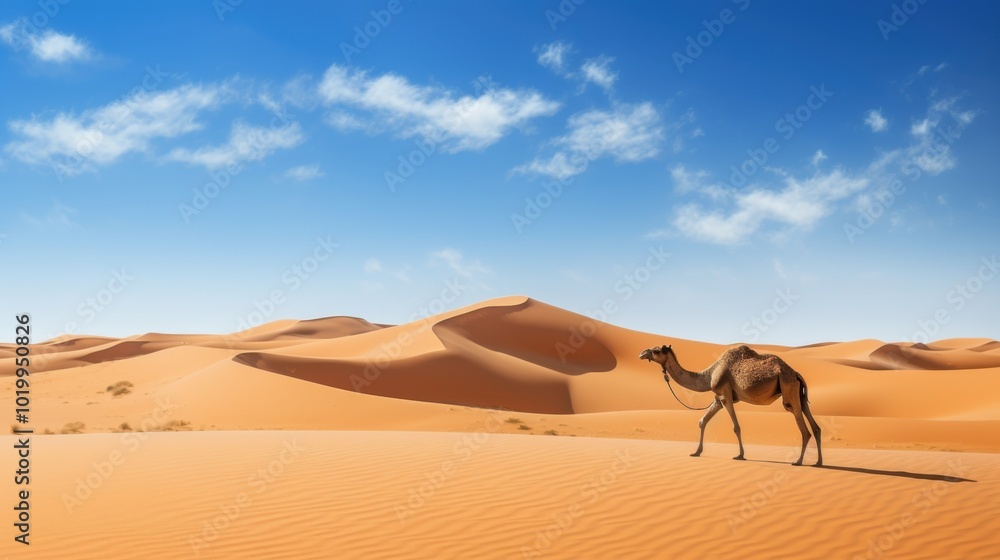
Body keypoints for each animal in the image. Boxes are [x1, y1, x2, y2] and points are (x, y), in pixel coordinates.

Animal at [639, 344, 822, 466]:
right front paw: (696, 452)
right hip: (800, 394)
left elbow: (736, 427)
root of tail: (796, 373)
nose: (642, 353)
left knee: (804, 429)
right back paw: (818, 462)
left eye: (656, 350)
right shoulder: (718, 397)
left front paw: (740, 455)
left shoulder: (725, 394)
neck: (709, 374)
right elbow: (702, 421)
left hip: (788, 390)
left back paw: (798, 461)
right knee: (816, 427)